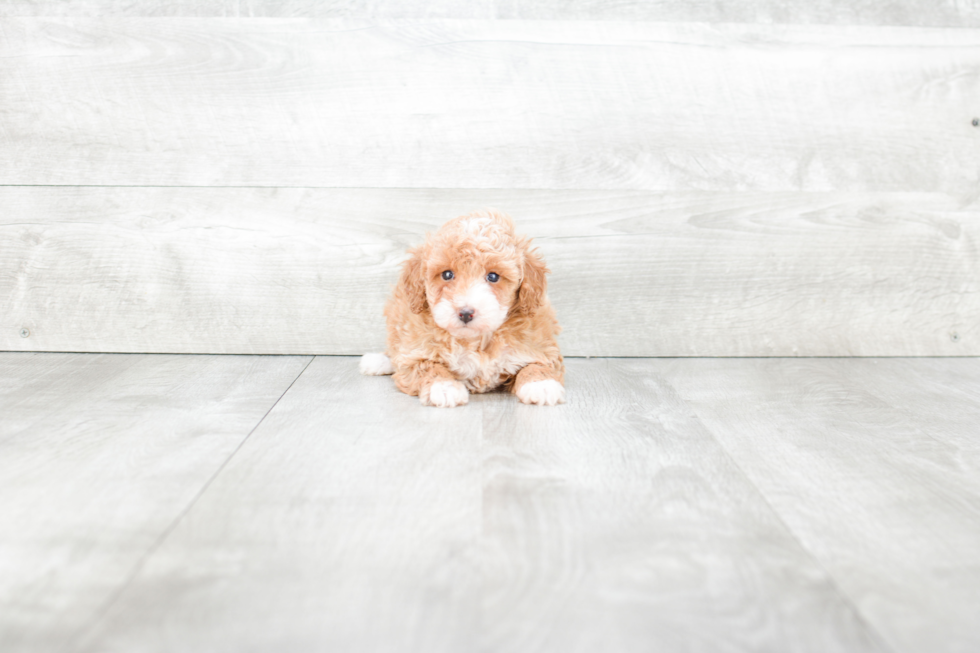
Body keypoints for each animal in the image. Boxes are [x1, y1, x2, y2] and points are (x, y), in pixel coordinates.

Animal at [360, 209, 564, 404]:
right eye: (447, 275)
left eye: (493, 277)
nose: (465, 313)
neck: (475, 341)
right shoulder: (415, 353)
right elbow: (428, 366)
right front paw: (444, 388)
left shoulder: (540, 347)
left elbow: (536, 365)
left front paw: (542, 385)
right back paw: (377, 361)